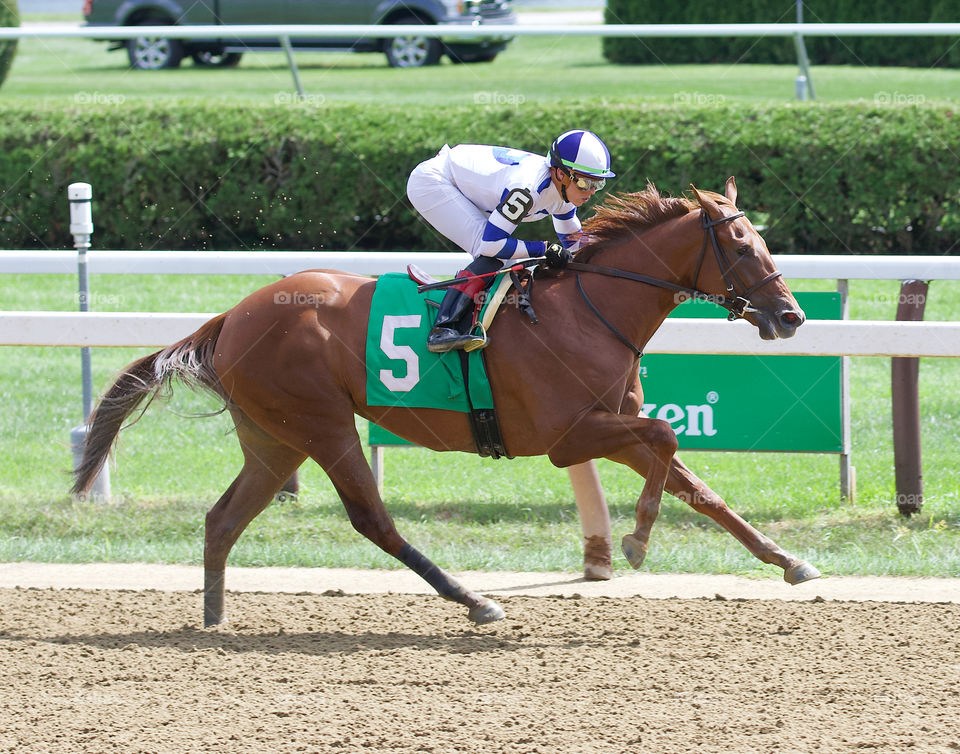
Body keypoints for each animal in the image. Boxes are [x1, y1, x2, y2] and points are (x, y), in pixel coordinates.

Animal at [75, 179, 820, 624]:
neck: (590, 308)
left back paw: (215, 619)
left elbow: (699, 486)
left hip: (273, 436)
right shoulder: (566, 437)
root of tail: (230, 315)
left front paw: (789, 562)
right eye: (739, 245)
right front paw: (636, 543)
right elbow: (666, 441)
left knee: (223, 519)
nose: (790, 317)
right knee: (372, 520)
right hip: (321, 424)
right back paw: (474, 600)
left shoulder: (611, 422)